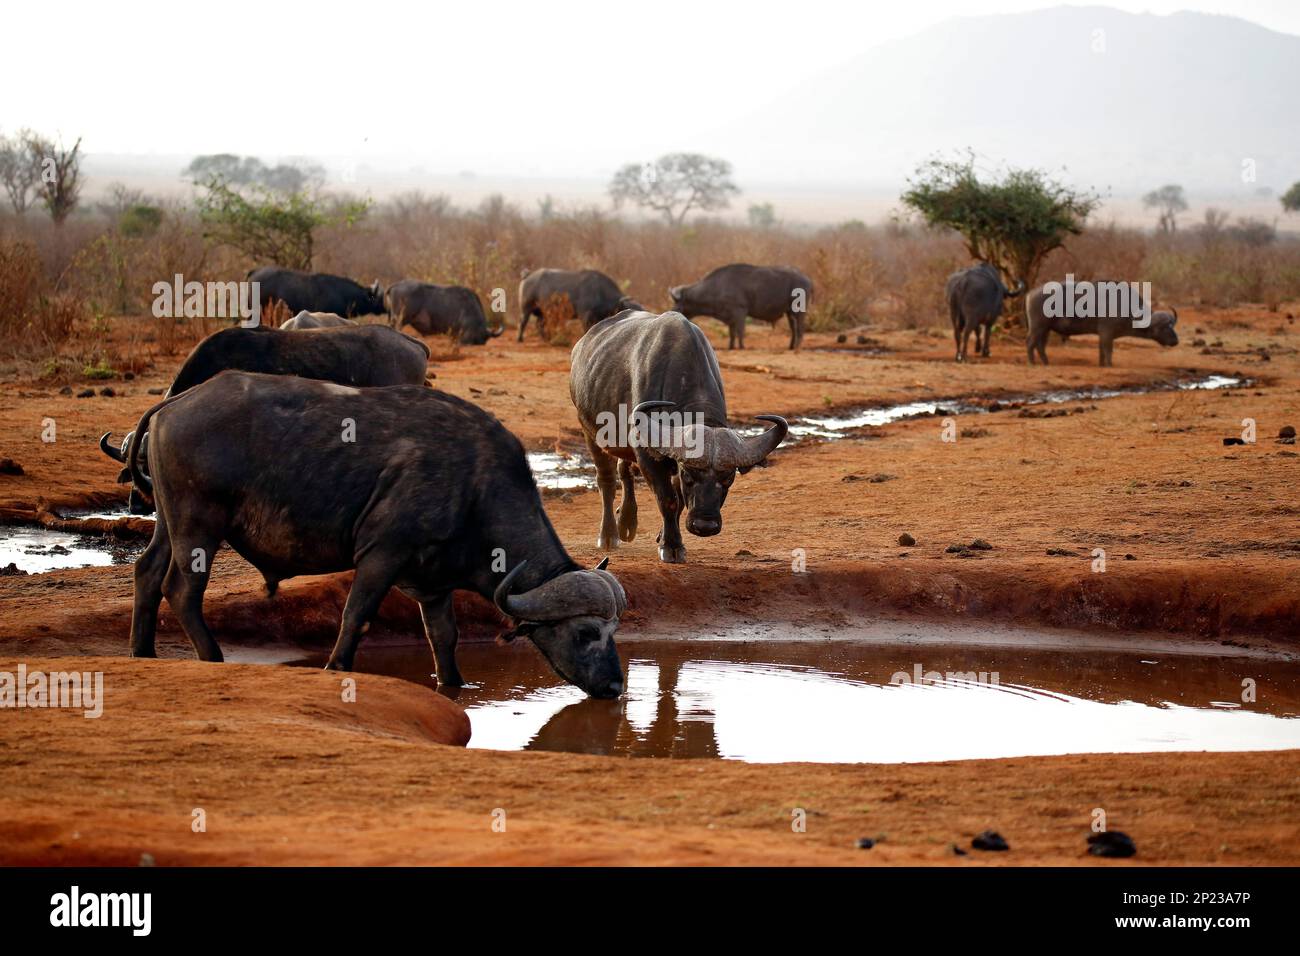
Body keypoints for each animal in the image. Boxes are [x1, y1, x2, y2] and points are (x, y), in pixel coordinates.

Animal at [124, 372, 626, 696]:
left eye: (614, 632)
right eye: (585, 632)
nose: (616, 685)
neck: (474, 485)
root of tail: (177, 402)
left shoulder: (434, 585)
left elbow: (443, 637)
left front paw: (453, 685)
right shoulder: (381, 555)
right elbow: (356, 615)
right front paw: (336, 666)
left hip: (169, 521)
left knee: (147, 572)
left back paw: (142, 651)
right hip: (199, 524)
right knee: (182, 589)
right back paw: (212, 657)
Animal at [570, 310, 788, 564]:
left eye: (728, 478)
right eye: (688, 476)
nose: (705, 525)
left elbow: (680, 499)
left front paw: (665, 536)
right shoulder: (649, 456)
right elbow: (669, 499)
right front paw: (671, 546)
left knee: (624, 470)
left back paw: (627, 524)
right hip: (589, 431)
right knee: (606, 480)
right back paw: (609, 536)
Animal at [669, 263, 812, 350]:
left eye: (677, 307)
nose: (672, 312)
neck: (717, 287)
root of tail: (807, 280)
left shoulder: (740, 312)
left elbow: (740, 331)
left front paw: (741, 346)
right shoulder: (730, 316)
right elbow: (732, 333)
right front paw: (731, 347)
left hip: (799, 311)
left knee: (800, 328)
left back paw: (797, 348)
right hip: (789, 312)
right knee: (793, 329)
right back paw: (791, 346)